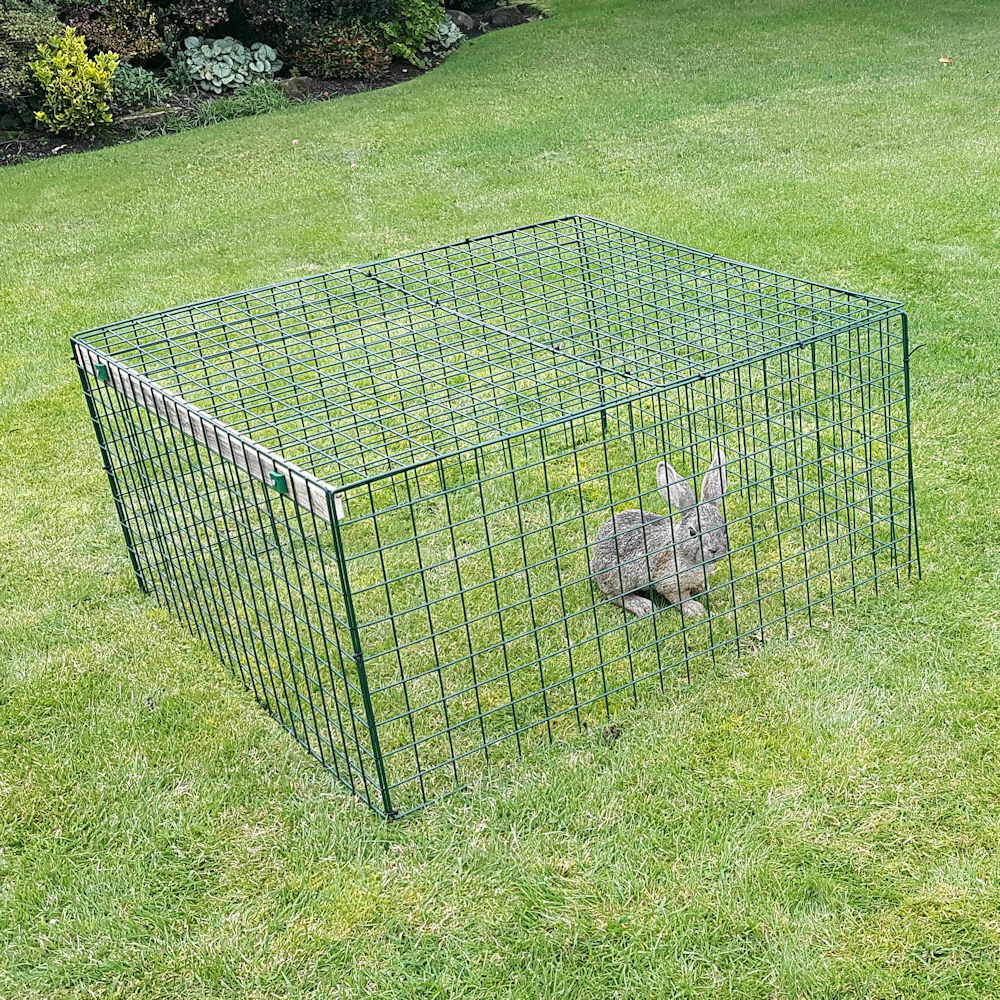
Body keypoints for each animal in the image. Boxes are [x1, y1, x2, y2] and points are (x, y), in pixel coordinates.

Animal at [590, 449, 729, 619]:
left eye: (723, 528)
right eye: (692, 532)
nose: (714, 549)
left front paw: (703, 588)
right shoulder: (669, 582)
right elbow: (679, 597)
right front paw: (695, 610)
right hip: (619, 577)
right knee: (615, 596)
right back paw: (644, 606)